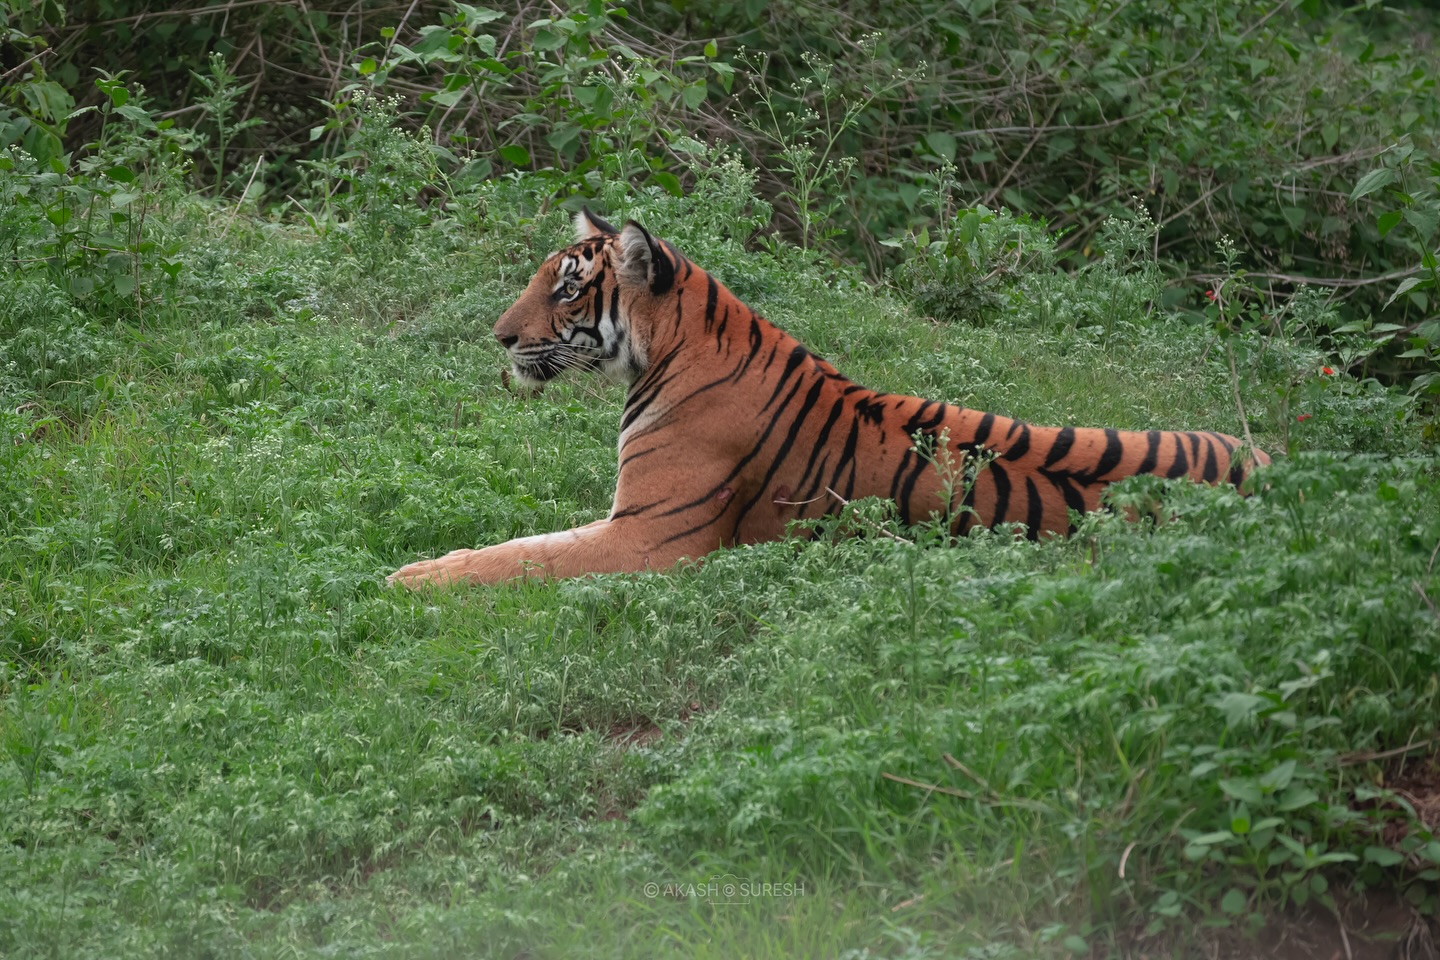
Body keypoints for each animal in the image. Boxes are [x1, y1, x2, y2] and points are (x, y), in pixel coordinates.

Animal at [387, 209, 1269, 587]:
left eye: (567, 289)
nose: (500, 337)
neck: (675, 344)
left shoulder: (649, 537)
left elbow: (520, 556)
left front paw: (406, 578)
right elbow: (524, 540)